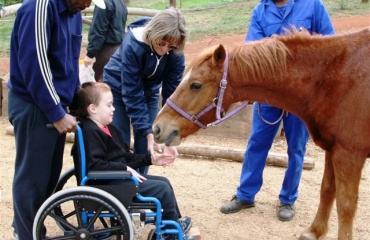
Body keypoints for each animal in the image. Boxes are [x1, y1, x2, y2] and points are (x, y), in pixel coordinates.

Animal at [152, 27, 370, 239]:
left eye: (196, 85)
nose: (157, 128)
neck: (330, 76)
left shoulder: (348, 154)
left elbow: (346, 206)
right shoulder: (332, 149)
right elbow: (326, 190)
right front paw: (314, 232)